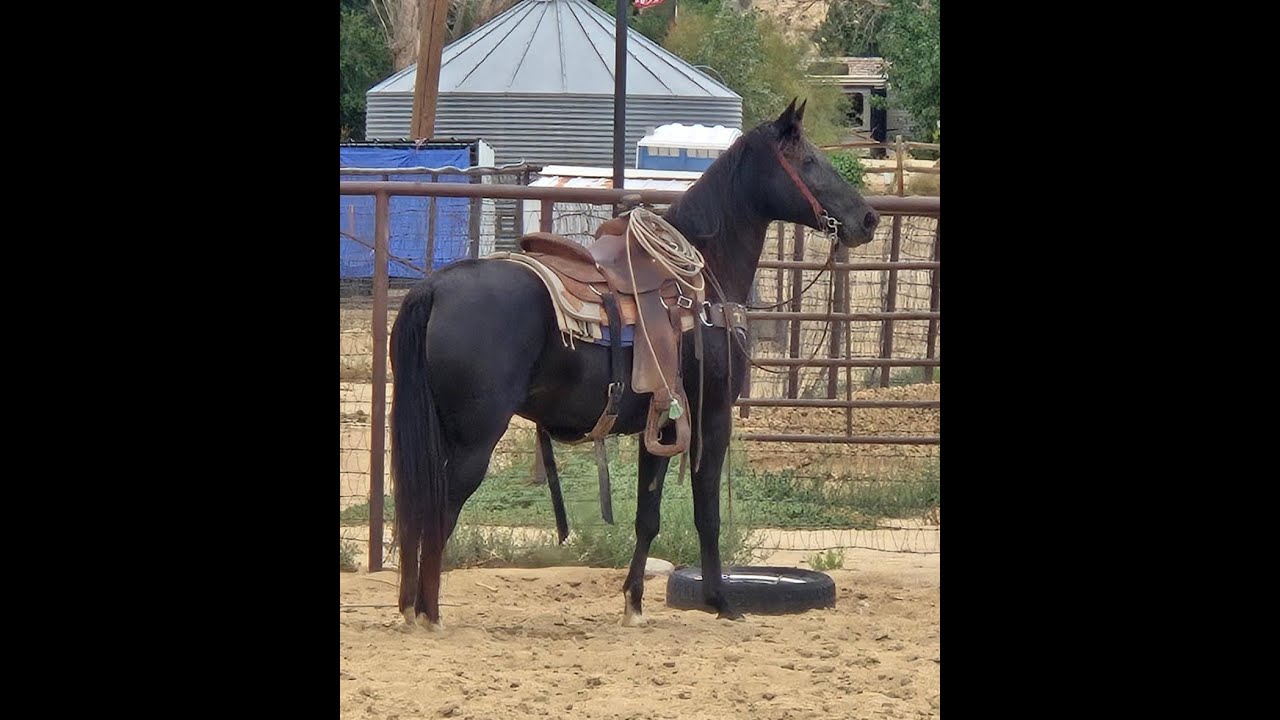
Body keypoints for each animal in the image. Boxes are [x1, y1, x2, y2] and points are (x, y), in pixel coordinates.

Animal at [389, 99, 880, 630]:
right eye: (808, 161)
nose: (869, 218)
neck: (703, 280)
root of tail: (433, 288)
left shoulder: (662, 422)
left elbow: (648, 515)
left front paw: (634, 603)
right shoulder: (711, 417)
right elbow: (706, 512)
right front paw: (721, 601)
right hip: (474, 438)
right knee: (440, 510)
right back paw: (430, 614)